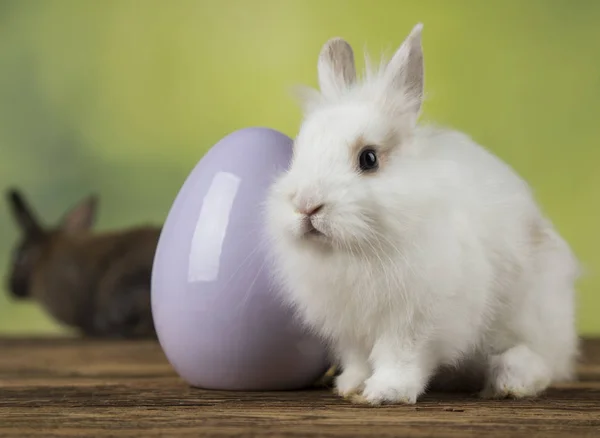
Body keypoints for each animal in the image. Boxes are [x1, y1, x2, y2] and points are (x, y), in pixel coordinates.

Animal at [264, 24, 580, 406]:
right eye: (297, 154)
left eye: (368, 158)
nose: (306, 204)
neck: (354, 253)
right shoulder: (350, 327)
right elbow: (357, 359)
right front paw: (351, 386)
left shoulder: (416, 318)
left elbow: (400, 356)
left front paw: (386, 392)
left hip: (534, 316)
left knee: (541, 361)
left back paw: (508, 381)